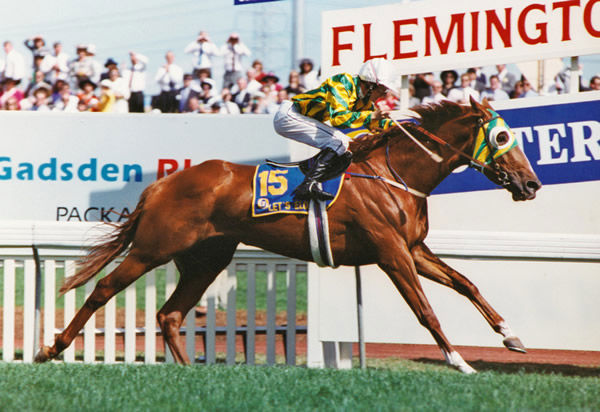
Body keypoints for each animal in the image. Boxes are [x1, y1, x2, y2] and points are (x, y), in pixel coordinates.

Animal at [37, 97, 544, 374]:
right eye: (502, 139)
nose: (531, 184)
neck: (393, 173)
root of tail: (162, 183)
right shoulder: (391, 251)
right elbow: (425, 310)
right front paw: (459, 361)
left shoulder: (414, 248)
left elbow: (466, 283)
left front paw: (511, 336)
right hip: (153, 248)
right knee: (103, 289)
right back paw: (50, 349)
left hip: (206, 259)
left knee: (170, 314)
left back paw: (187, 372)